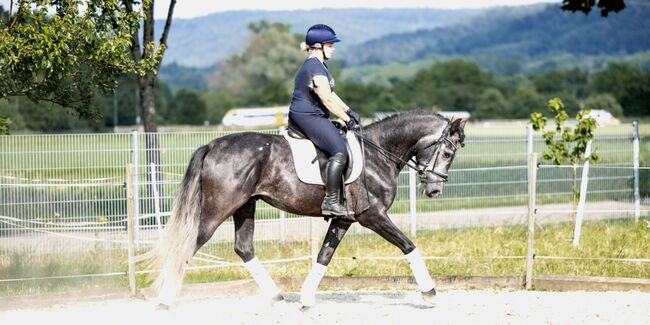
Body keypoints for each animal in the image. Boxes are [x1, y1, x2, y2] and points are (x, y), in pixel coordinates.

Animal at [144, 110, 464, 308]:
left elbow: (324, 256)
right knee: (187, 246)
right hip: (217, 209)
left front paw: (307, 300)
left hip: (245, 206)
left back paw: (276, 296)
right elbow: (409, 246)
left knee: (243, 248)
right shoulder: (372, 216)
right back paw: (164, 301)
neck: (378, 153)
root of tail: (212, 144)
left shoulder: (344, 220)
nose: (434, 190)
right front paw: (430, 292)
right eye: (448, 152)